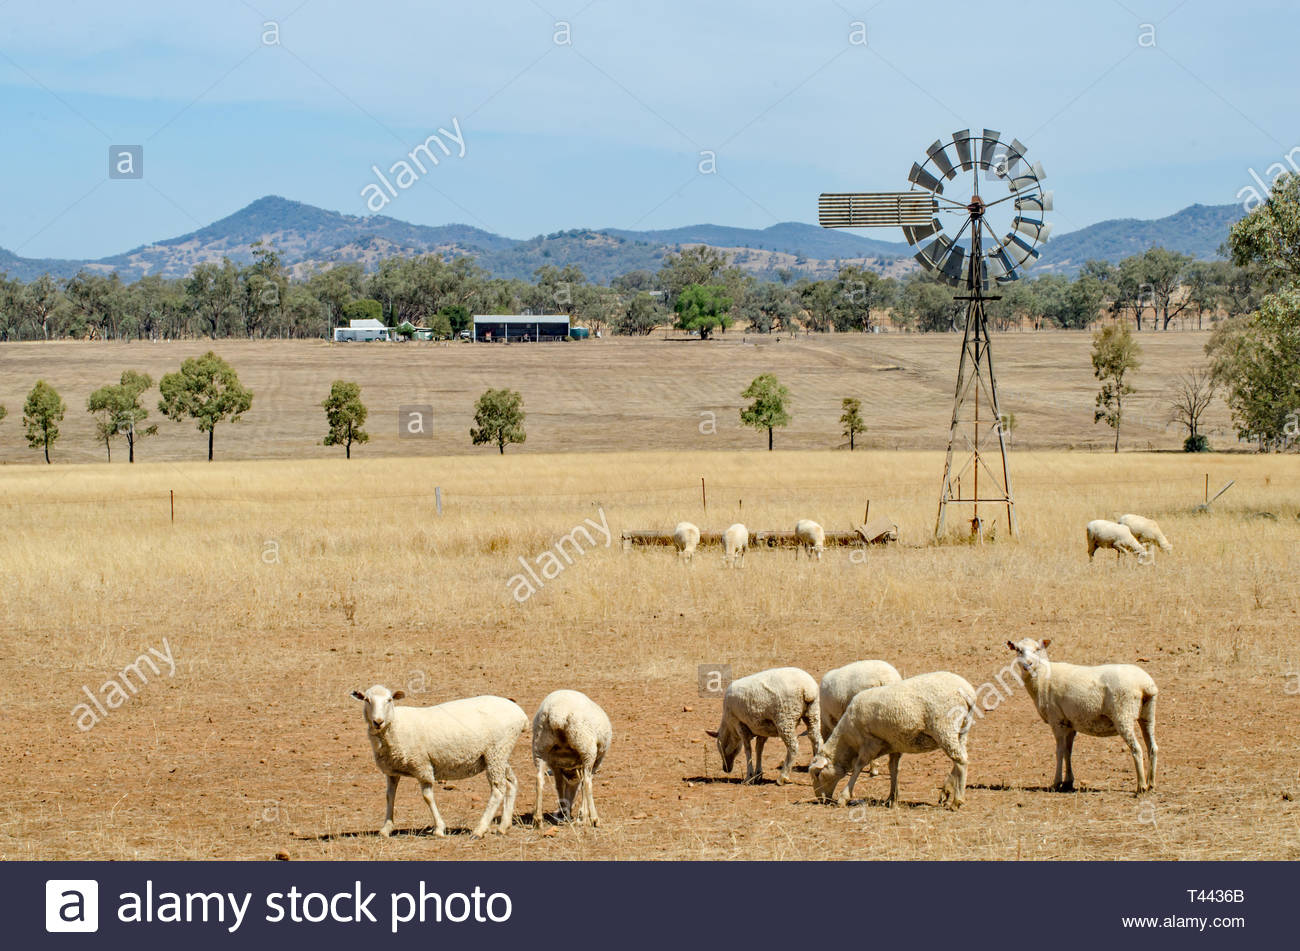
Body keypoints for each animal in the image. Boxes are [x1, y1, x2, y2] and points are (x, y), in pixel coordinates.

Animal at [351, 685, 527, 841]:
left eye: (389, 700)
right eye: (366, 700)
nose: (378, 721)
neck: (395, 725)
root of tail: (521, 714)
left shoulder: (422, 766)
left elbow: (427, 797)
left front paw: (439, 829)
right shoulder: (392, 771)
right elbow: (389, 796)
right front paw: (385, 829)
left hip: (496, 752)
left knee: (498, 789)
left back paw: (479, 830)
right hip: (499, 755)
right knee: (511, 782)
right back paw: (503, 827)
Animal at [530, 685, 611, 826]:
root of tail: (558, 713)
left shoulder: (555, 765)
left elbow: (559, 785)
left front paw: (565, 812)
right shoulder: (596, 761)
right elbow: (584, 784)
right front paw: (583, 815)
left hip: (539, 747)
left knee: (539, 779)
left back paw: (538, 819)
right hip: (586, 748)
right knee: (588, 782)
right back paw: (595, 819)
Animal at [811, 670, 977, 810]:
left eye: (817, 774)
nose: (820, 800)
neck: (847, 739)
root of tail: (967, 692)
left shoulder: (870, 742)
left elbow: (859, 766)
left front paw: (843, 797)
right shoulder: (894, 744)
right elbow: (893, 768)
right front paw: (892, 798)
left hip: (945, 728)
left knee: (960, 761)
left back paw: (957, 801)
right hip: (961, 731)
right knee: (960, 759)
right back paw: (946, 790)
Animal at [1003, 639, 1159, 795]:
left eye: (1037, 649)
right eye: (1018, 650)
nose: (1027, 664)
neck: (1042, 677)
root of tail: (1145, 684)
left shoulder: (1057, 720)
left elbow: (1059, 751)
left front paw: (1056, 783)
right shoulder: (1070, 723)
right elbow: (1068, 752)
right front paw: (1068, 782)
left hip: (1123, 714)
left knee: (1137, 749)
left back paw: (1141, 786)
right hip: (1148, 714)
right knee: (1152, 747)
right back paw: (1151, 784)